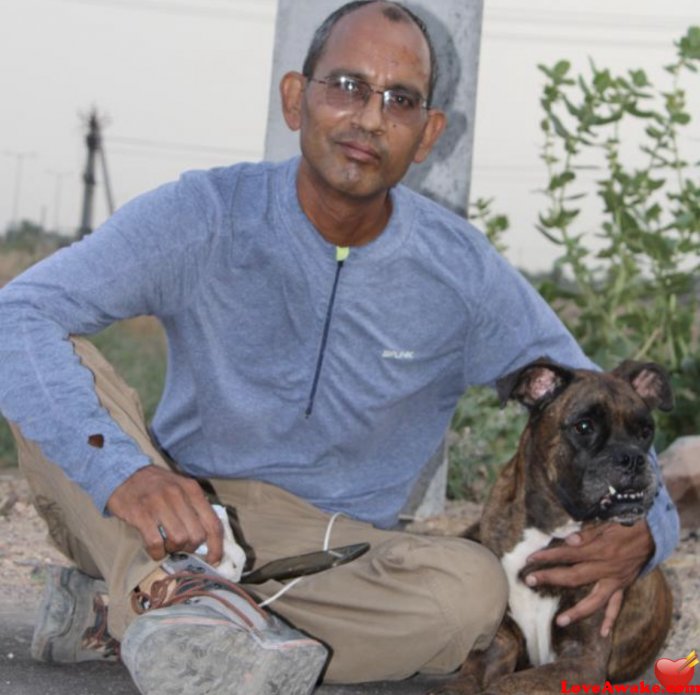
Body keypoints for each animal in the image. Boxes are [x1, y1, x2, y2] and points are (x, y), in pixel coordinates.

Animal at [432, 358, 672, 695]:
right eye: (584, 426)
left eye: (646, 431)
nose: (633, 458)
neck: (548, 530)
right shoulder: (499, 644)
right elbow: (467, 679)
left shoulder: (581, 659)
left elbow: (508, 684)